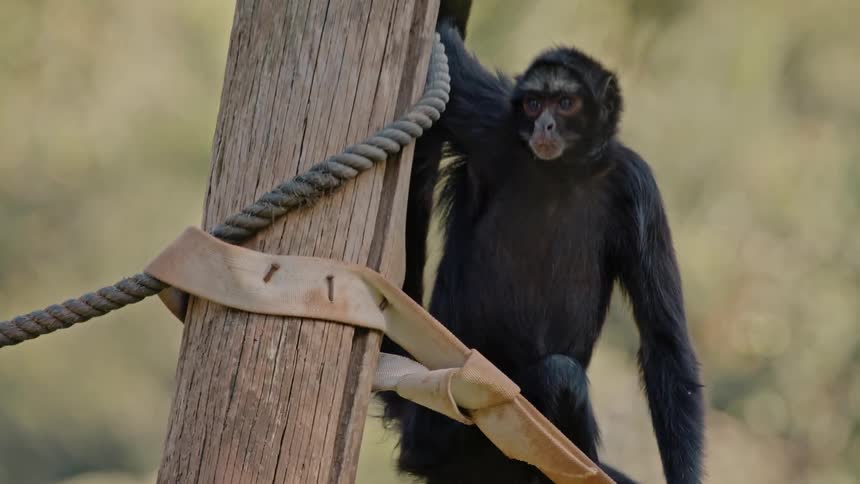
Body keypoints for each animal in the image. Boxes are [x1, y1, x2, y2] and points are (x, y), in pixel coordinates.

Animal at [381, 21, 704, 484]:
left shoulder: (636, 184)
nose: (545, 126)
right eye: (534, 104)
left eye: (565, 103)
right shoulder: (490, 120)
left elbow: (664, 340)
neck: (561, 173)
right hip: (443, 430)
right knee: (559, 376)